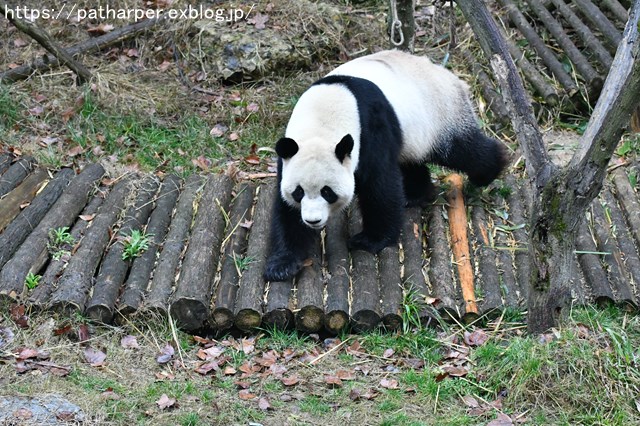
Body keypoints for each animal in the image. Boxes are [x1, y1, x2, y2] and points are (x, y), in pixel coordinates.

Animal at [262, 50, 508, 282]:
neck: (323, 116)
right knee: (411, 162)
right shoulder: (290, 154)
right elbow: (285, 210)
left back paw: (488, 172)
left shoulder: (370, 129)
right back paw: (414, 195)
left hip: (441, 114)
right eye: (299, 192)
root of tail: (450, 76)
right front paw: (282, 265)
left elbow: (379, 185)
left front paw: (369, 240)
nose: (313, 220)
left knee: (462, 149)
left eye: (327, 192)